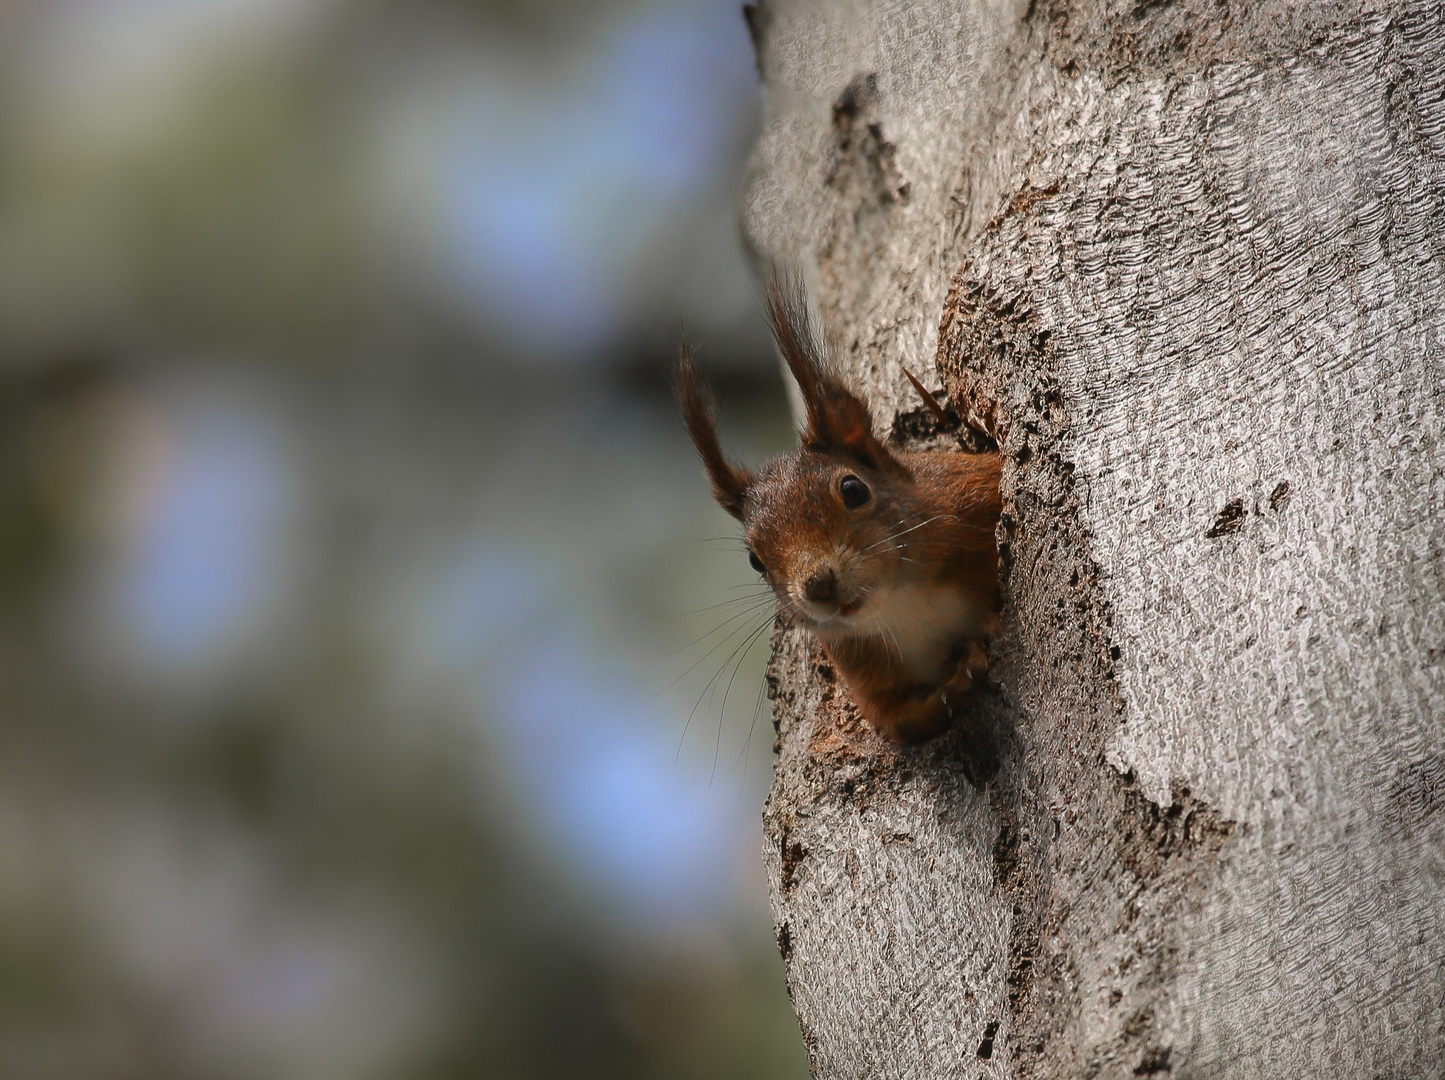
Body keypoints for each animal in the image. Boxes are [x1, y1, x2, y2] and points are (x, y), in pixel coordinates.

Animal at [679, 274, 1005, 746]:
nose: (818, 585)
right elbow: (900, 722)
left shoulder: (971, 500)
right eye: (755, 560)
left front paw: (981, 640)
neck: (906, 605)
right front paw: (958, 678)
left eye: (853, 489)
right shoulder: (862, 665)